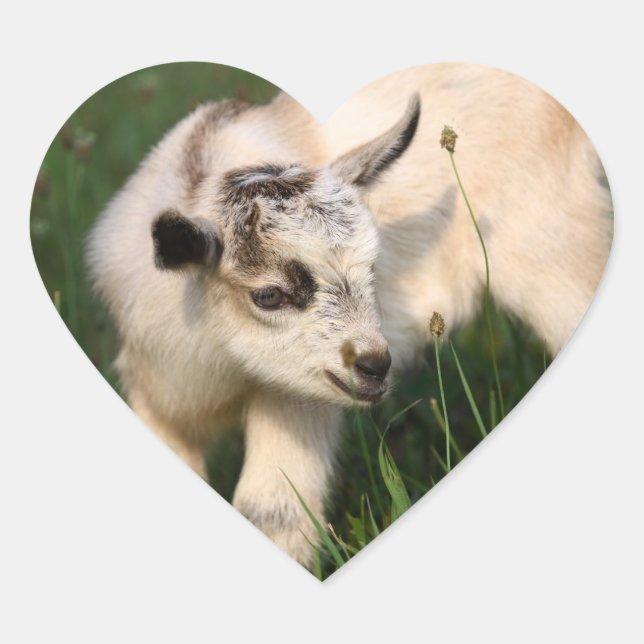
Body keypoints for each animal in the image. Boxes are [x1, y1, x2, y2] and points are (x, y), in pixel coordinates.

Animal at [86, 63, 612, 567]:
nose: (375, 366)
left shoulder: (295, 400)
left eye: (373, 270)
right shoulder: (158, 395)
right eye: (269, 296)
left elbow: (273, 510)